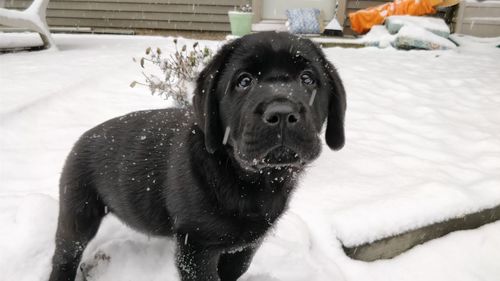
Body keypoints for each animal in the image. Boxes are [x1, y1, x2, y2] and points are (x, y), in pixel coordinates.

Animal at [48, 30, 346, 280]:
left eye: (307, 79)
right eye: (244, 81)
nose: (282, 113)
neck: (247, 180)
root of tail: (83, 137)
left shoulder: (247, 244)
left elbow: (234, 270)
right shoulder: (196, 248)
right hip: (78, 213)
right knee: (65, 256)